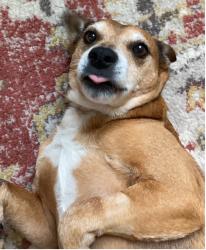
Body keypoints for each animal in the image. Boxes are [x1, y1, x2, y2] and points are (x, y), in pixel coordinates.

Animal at [0, 14, 204, 249]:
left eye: (140, 48)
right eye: (90, 36)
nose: (101, 55)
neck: (91, 116)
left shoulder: (179, 191)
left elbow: (83, 211)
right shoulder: (47, 227)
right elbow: (5, 187)